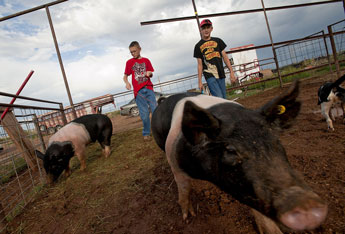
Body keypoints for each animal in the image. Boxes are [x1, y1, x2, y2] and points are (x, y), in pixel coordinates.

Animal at [152, 82, 326, 232]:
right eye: (230, 150)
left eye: (276, 140)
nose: (306, 205)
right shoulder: (174, 159)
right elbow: (183, 188)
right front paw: (188, 217)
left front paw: (272, 231)